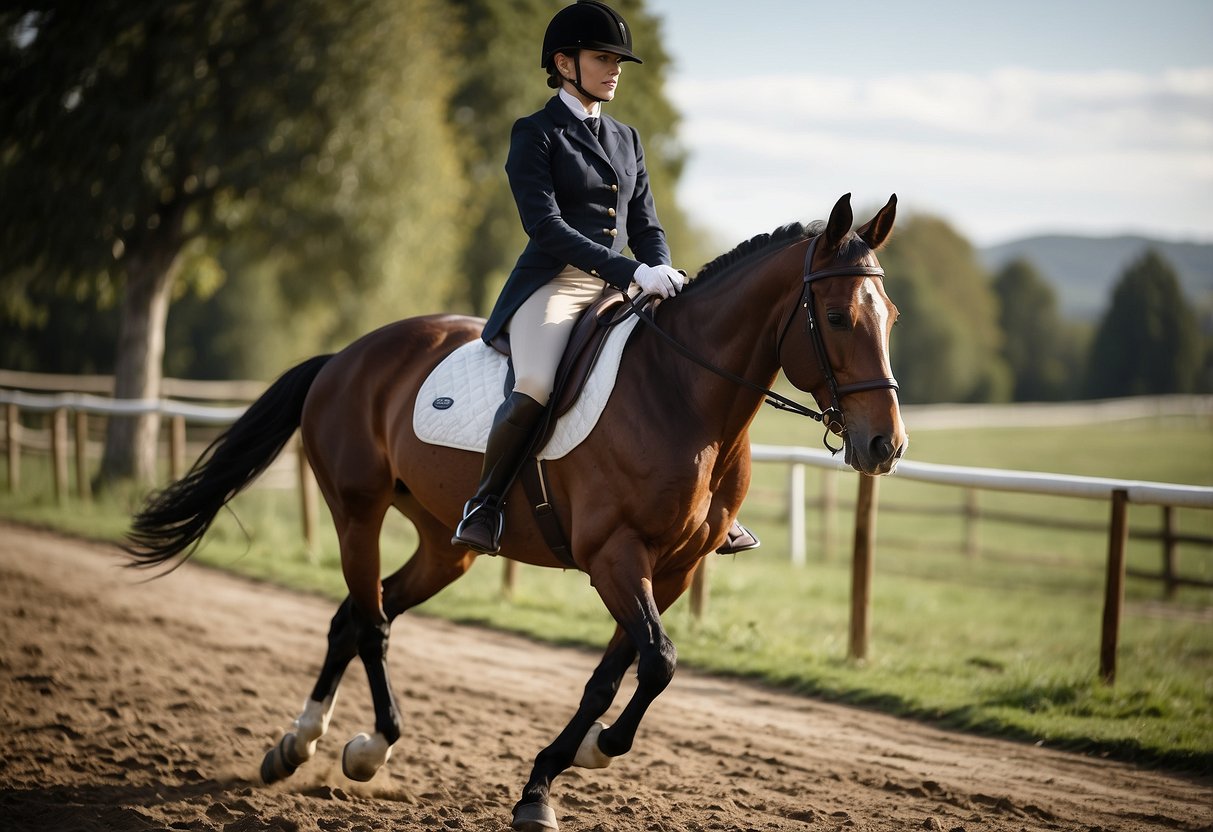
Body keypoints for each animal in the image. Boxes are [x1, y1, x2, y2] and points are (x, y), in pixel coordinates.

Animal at [125, 192, 902, 829]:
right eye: (837, 317)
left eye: (889, 318)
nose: (884, 445)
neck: (681, 392)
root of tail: (344, 356)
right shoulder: (614, 557)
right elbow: (656, 660)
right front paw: (563, 773)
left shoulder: (672, 569)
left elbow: (621, 671)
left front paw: (574, 761)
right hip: (357, 514)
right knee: (370, 623)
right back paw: (370, 746)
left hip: (446, 545)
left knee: (356, 616)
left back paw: (300, 743)